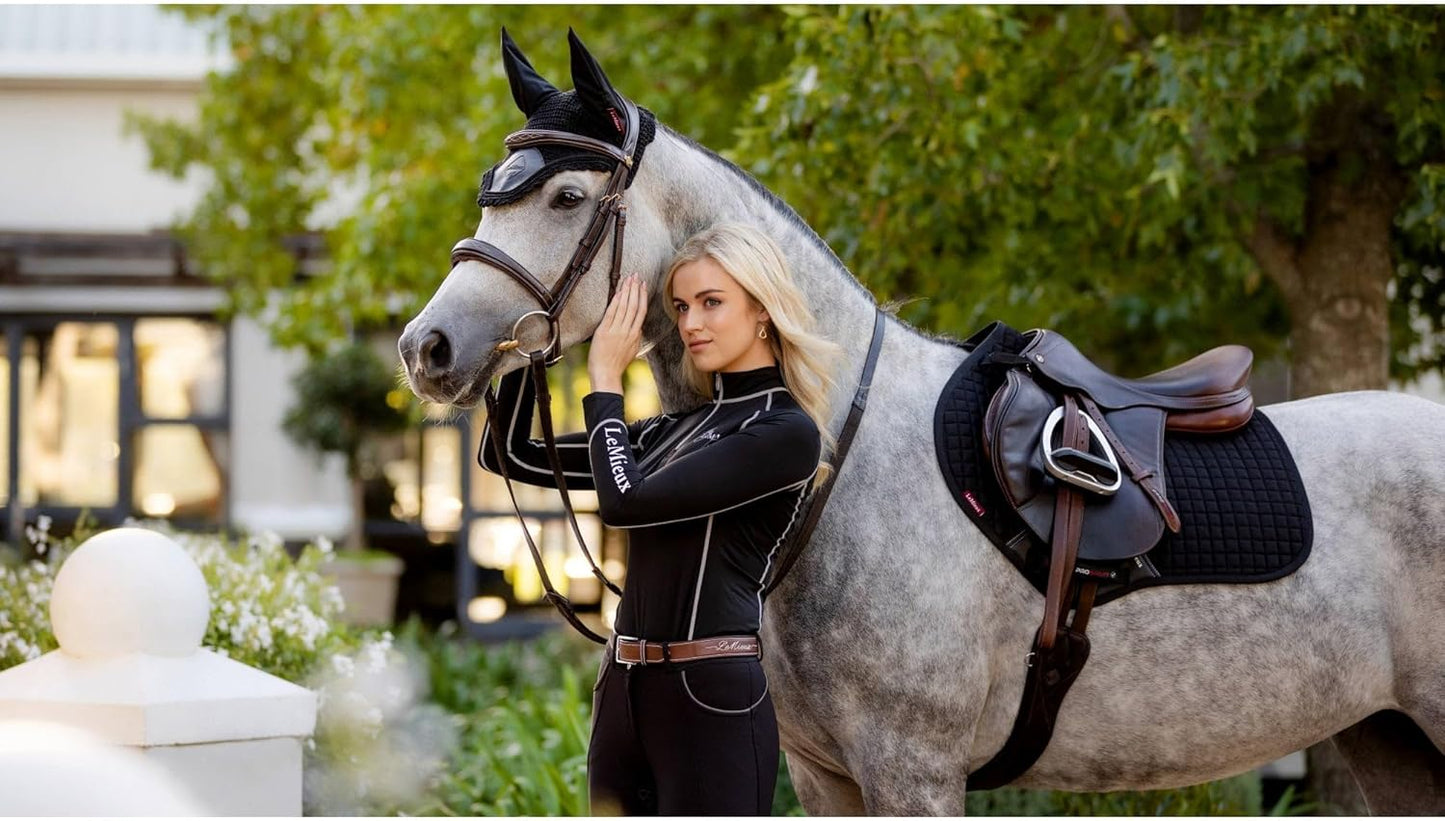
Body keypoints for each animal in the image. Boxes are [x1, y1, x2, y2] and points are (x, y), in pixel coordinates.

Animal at [399, 31, 1445, 815]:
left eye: (568, 196)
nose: (427, 346)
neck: (844, 457)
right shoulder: (823, 773)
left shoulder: (914, 768)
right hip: (1388, 737)